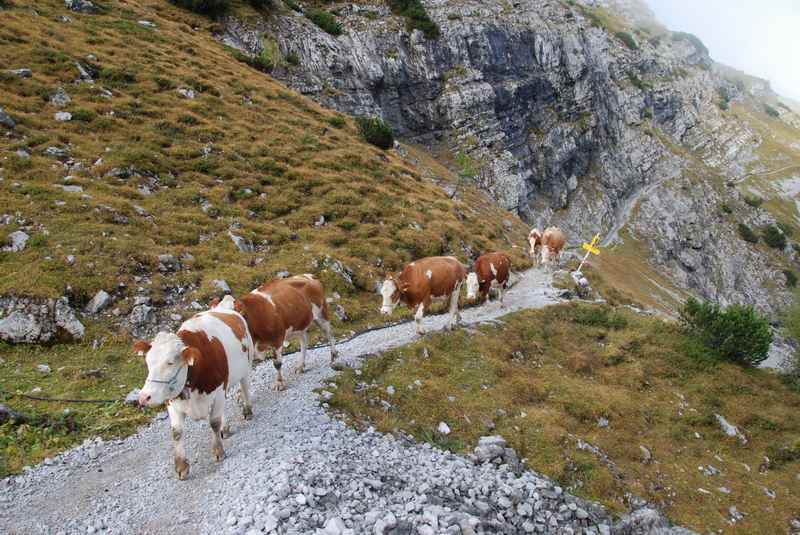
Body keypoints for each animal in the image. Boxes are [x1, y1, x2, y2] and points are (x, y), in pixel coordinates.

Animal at [134, 298, 253, 482]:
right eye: (147, 362)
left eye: (170, 362)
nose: (144, 397)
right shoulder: (171, 401)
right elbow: (176, 432)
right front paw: (181, 466)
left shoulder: (219, 390)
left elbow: (213, 422)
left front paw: (218, 451)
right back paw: (225, 428)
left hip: (246, 366)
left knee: (245, 387)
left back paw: (247, 411)